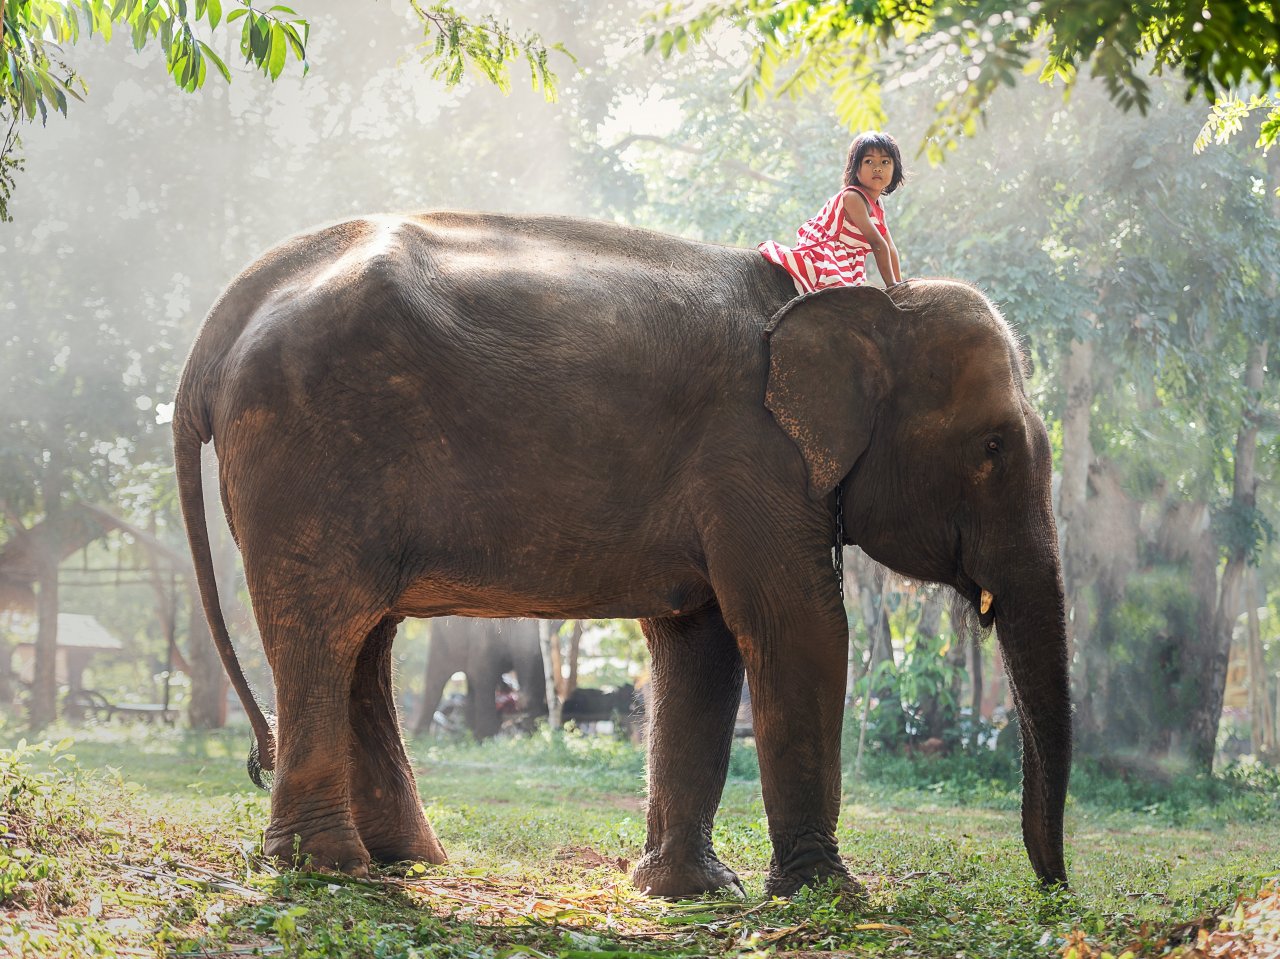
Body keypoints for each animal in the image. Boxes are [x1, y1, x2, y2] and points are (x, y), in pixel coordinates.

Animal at [412, 614, 547, 742]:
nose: (519, 699)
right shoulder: (481, 636)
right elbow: (482, 673)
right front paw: (487, 739)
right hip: (441, 639)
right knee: (436, 683)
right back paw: (421, 738)